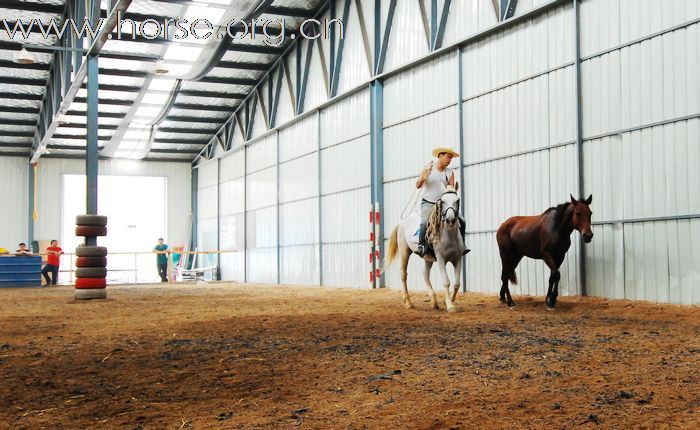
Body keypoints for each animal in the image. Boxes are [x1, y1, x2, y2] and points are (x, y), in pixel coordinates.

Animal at [382, 184, 464, 312]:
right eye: (443, 201)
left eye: (457, 200)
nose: (450, 219)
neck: (449, 236)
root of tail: (402, 221)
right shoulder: (441, 259)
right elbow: (446, 282)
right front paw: (450, 306)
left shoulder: (458, 259)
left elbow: (457, 283)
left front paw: (449, 300)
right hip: (405, 251)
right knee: (403, 274)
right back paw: (408, 302)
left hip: (427, 257)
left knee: (425, 274)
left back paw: (434, 301)